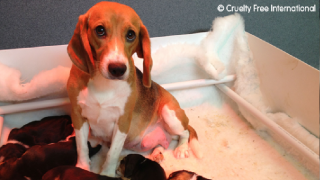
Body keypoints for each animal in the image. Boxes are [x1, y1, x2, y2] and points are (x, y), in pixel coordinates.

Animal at [67, 1, 202, 176]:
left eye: (131, 35)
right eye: (100, 30)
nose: (117, 69)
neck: (103, 83)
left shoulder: (123, 121)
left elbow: (112, 153)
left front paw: (107, 174)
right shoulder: (77, 115)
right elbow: (81, 146)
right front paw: (82, 168)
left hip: (170, 114)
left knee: (185, 132)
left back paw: (181, 148)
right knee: (163, 143)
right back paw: (157, 152)